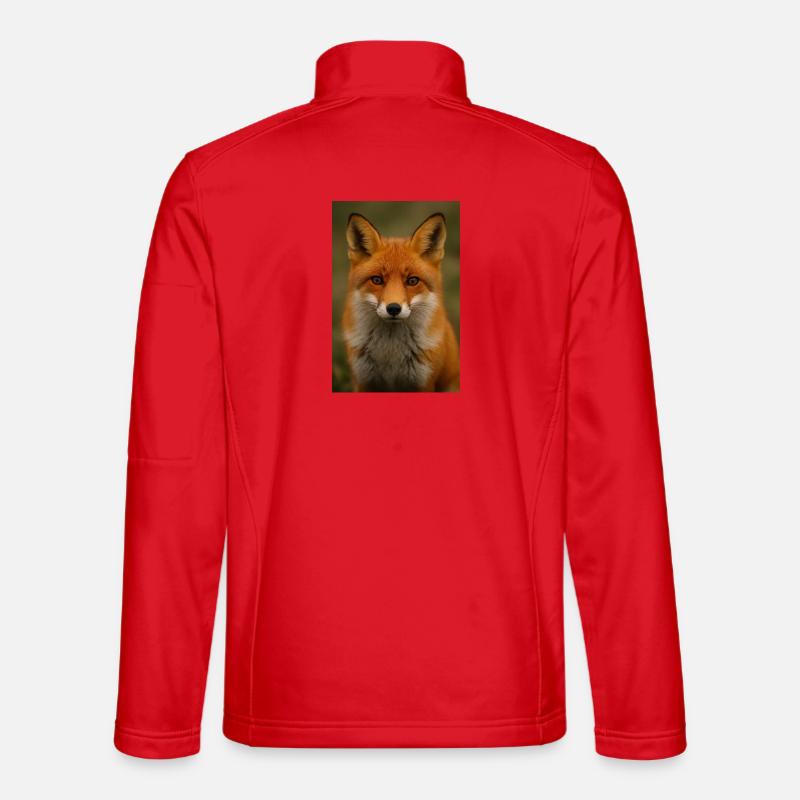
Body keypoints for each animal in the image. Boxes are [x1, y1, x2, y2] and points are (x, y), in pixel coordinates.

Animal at [342, 212, 460, 392]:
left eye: (412, 281)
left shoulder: (424, 381)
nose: (393, 309)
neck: (391, 353)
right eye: (377, 280)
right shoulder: (362, 381)